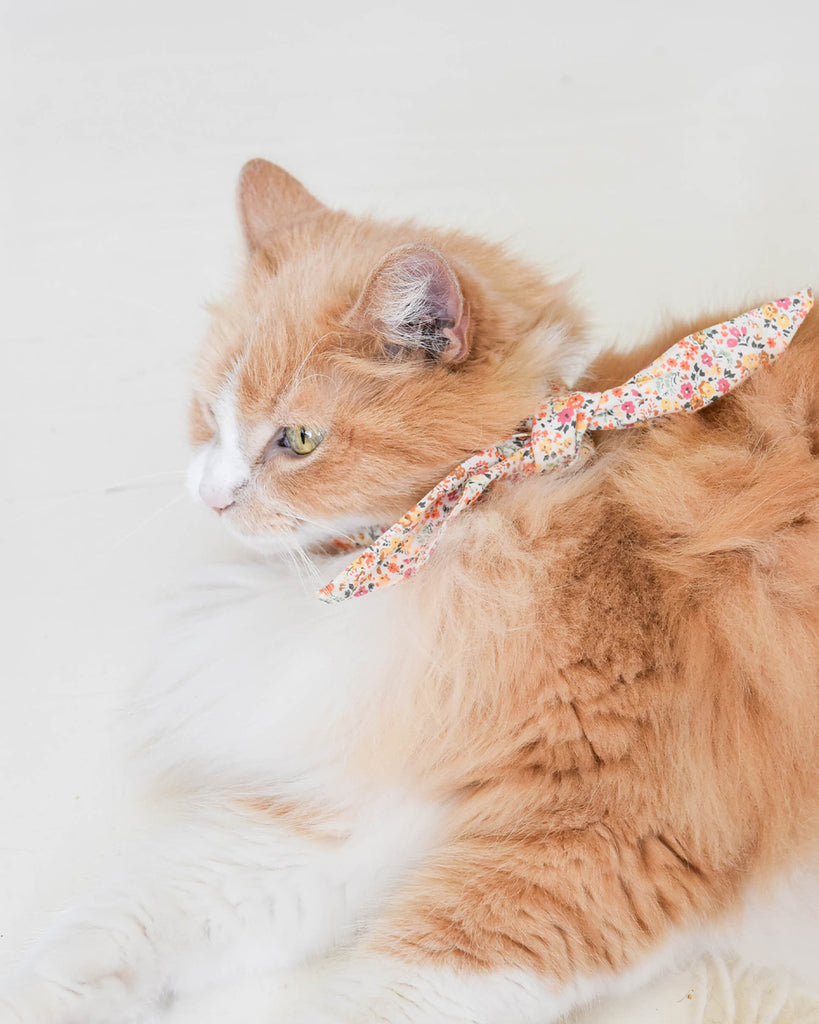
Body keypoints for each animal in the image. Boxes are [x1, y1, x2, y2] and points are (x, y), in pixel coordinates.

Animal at [1, 159, 818, 1024]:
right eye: (208, 415)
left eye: (298, 440)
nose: (211, 496)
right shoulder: (382, 778)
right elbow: (170, 898)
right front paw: (48, 995)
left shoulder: (606, 832)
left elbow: (393, 987)